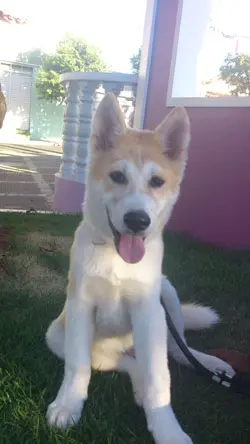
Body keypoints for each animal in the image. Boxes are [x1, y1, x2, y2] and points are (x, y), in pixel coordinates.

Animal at [45, 93, 234, 444]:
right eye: (117, 176)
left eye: (157, 182)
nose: (137, 221)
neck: (116, 258)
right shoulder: (80, 306)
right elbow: (77, 366)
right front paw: (67, 406)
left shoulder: (150, 312)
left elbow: (160, 378)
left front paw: (168, 430)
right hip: (58, 335)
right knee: (122, 363)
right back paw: (137, 388)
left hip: (167, 295)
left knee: (176, 350)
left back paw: (209, 363)